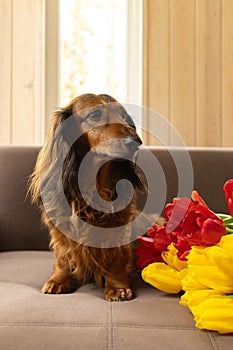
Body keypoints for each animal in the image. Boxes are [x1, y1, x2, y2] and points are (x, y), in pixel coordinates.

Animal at [29, 93, 146, 300]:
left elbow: (117, 258)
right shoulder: (60, 232)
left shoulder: (119, 228)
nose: (136, 142)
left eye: (124, 117)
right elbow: (62, 257)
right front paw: (58, 280)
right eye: (95, 114)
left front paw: (117, 287)